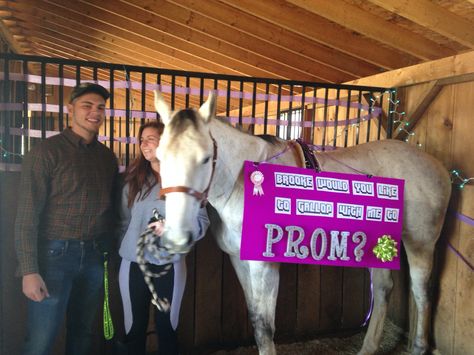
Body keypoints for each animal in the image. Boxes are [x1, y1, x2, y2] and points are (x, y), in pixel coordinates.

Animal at [155, 92, 452, 355]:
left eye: (206, 158)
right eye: (159, 156)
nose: (176, 238)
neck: (245, 181)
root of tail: (439, 167)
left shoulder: (263, 264)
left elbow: (264, 327)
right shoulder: (239, 259)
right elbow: (255, 317)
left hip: (420, 243)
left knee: (422, 292)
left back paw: (418, 347)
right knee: (382, 289)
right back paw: (367, 348)